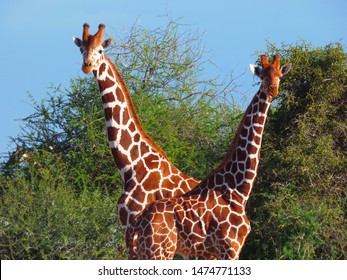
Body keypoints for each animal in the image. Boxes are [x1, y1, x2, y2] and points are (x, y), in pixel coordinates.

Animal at [126, 53, 292, 260]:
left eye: (279, 75)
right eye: (262, 76)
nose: (273, 90)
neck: (238, 188)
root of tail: (138, 225)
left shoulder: (213, 253)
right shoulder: (230, 248)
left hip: (143, 252)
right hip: (160, 251)